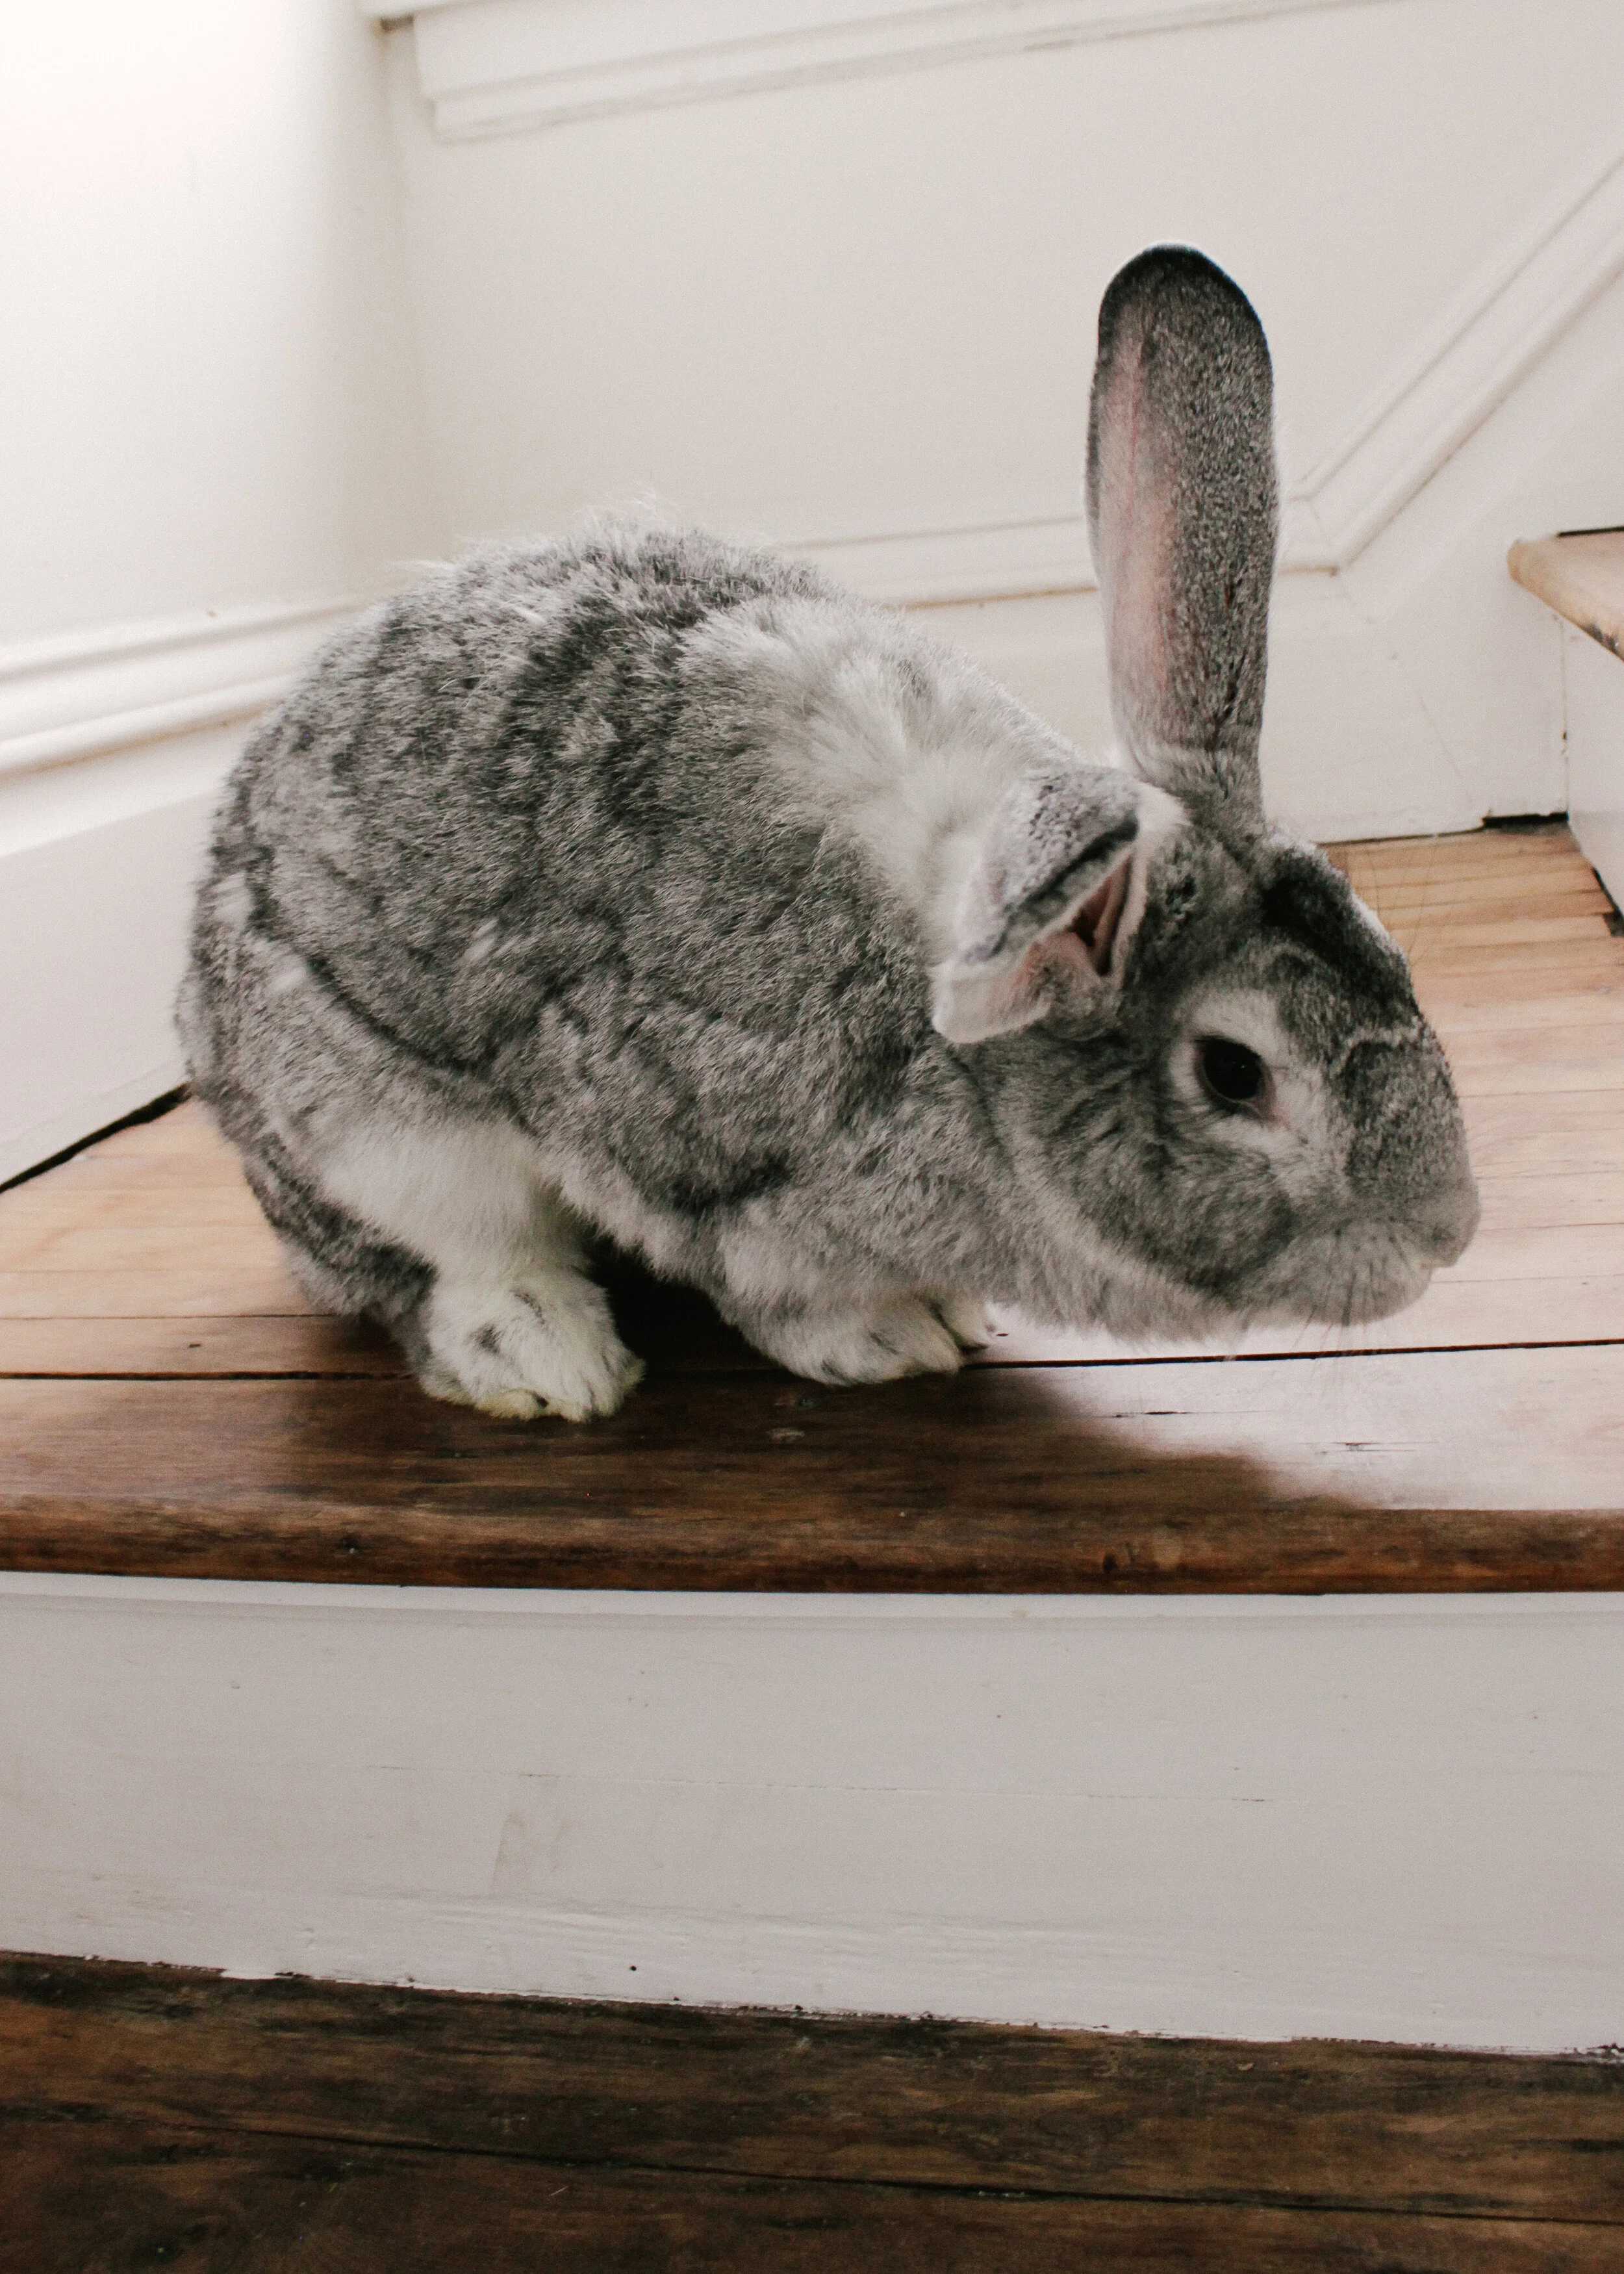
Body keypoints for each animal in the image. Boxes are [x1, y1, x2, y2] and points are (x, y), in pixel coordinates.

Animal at [178, 245, 1479, 1421]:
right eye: (1233, 1073)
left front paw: (953, 1317)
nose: (1451, 1232)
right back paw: (553, 1363)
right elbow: (781, 1293)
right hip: (376, 1136)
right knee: (445, 1264)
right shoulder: (725, 1178)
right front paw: (892, 1342)